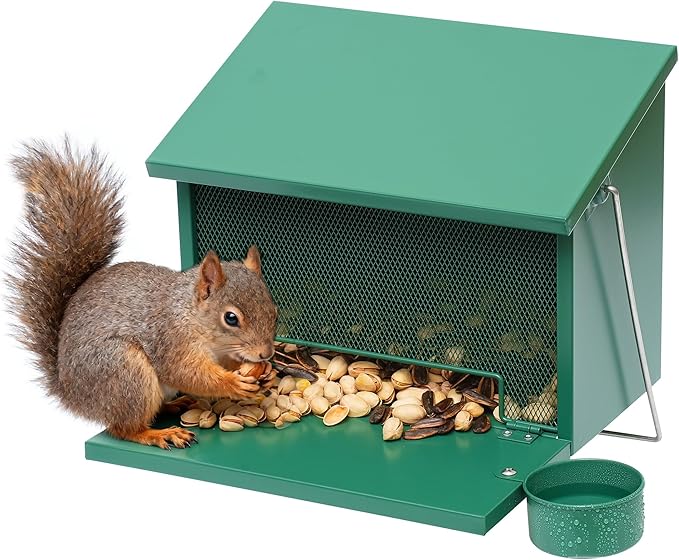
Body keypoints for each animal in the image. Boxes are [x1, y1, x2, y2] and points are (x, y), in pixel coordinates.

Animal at [7, 138, 278, 449]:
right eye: (231, 318)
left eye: (274, 311)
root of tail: (72, 395)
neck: (192, 317)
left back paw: (176, 405)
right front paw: (234, 383)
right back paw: (159, 433)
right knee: (124, 429)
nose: (266, 353)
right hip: (125, 372)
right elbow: (188, 373)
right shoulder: (171, 342)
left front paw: (262, 373)